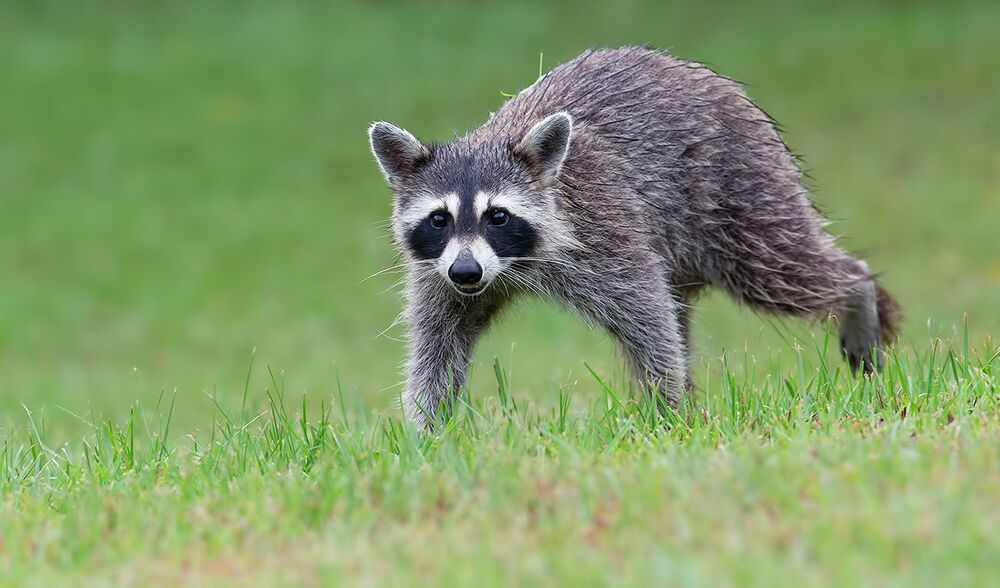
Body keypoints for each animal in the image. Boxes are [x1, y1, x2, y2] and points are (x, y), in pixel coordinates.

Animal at [368, 46, 900, 430]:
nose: (466, 271)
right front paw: (426, 434)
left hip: (739, 189)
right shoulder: (437, 271)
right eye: (439, 219)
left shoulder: (607, 230)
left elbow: (646, 316)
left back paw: (856, 291)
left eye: (497, 215)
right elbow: (438, 347)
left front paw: (668, 411)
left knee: (779, 267)